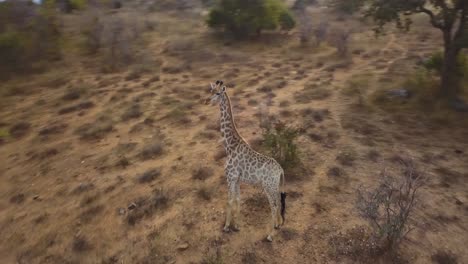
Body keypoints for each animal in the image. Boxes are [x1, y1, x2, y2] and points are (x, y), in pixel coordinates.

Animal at [207, 80, 288, 241]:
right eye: (210, 91)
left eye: (217, 93)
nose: (207, 101)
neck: (229, 145)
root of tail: (281, 170)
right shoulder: (237, 179)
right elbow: (238, 200)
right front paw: (237, 226)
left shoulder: (230, 177)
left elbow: (229, 200)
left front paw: (227, 227)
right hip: (275, 186)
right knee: (278, 201)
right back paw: (277, 225)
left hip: (268, 186)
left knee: (274, 205)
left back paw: (270, 235)